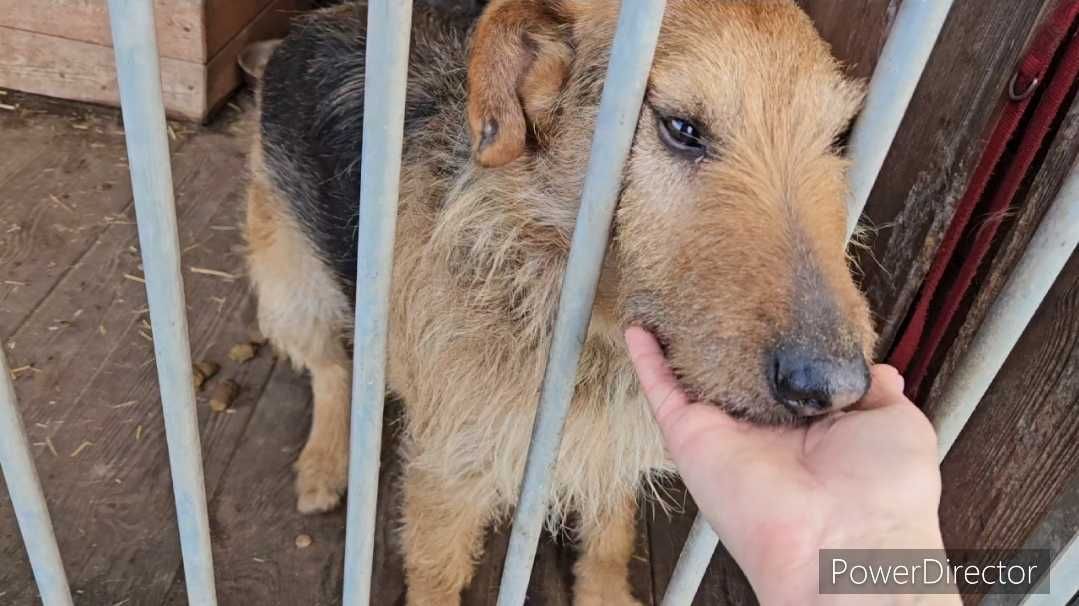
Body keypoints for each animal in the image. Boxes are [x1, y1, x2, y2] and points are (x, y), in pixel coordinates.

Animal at [244, 2, 876, 599]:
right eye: (681, 128)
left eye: (836, 140)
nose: (836, 388)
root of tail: (312, 23)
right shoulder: (449, 472)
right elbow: (435, 574)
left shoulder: (611, 447)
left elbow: (611, 536)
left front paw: (606, 594)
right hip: (292, 291)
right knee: (330, 367)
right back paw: (325, 462)